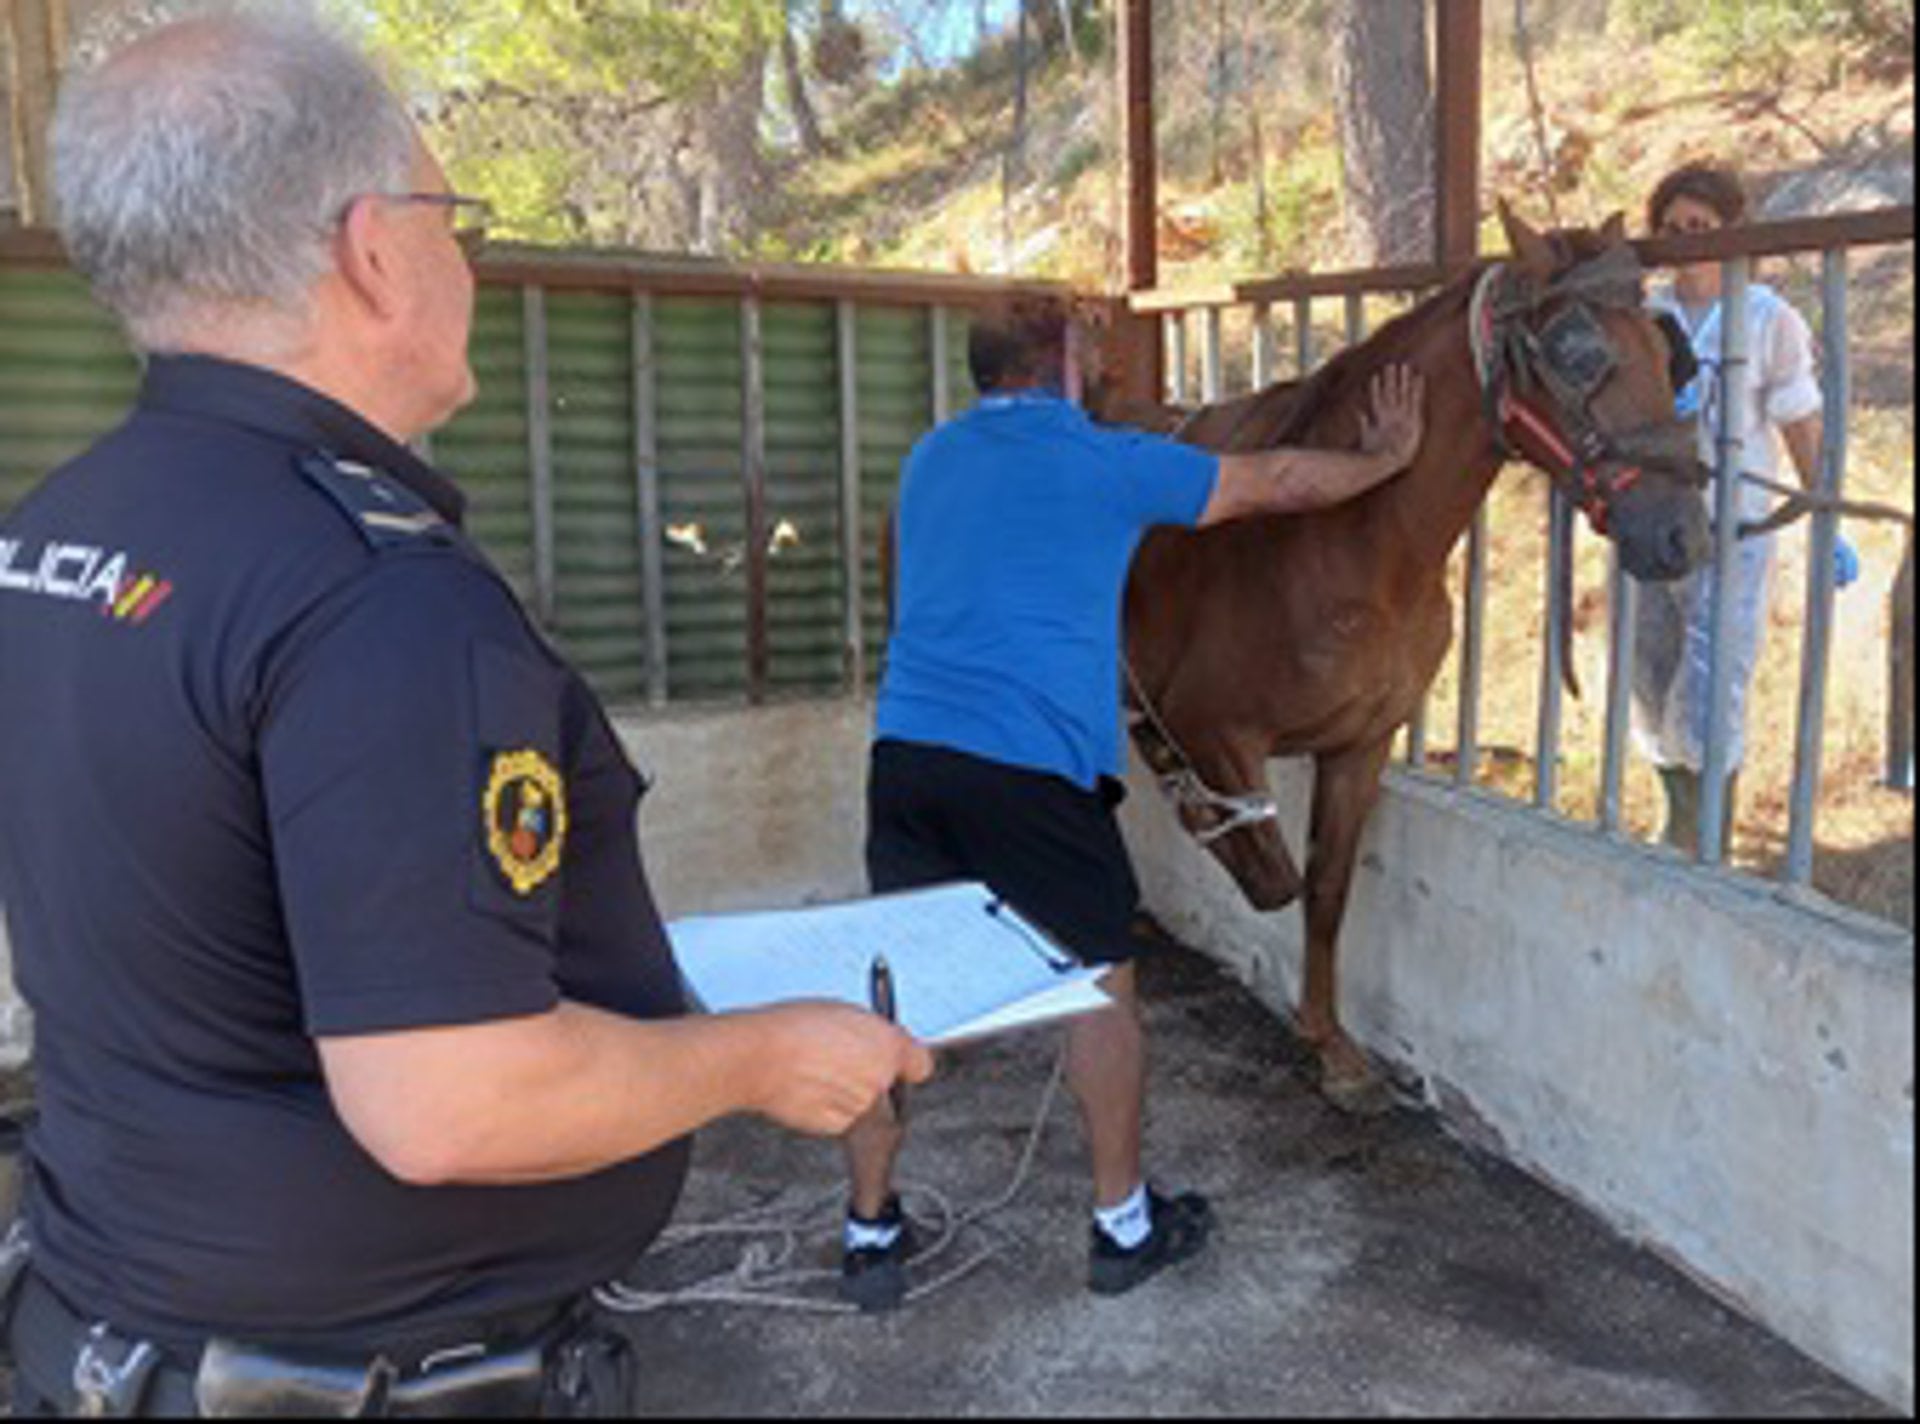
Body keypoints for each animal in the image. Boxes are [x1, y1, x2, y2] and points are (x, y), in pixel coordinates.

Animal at [1104, 203, 1713, 1113]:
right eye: (1576, 352)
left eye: (1665, 347)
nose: (1682, 535)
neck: (1351, 544)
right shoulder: (1212, 727)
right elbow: (1271, 872)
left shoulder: (1360, 745)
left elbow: (1324, 888)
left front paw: (1332, 1046)